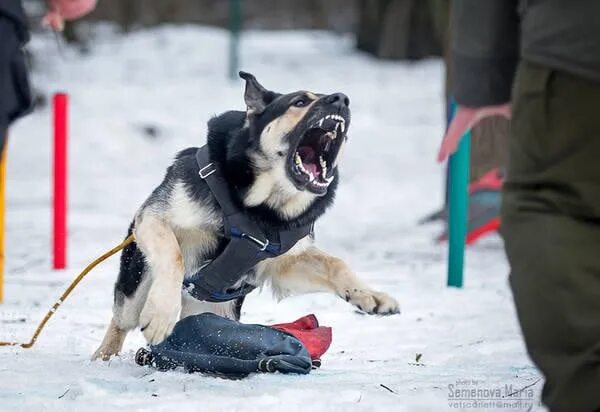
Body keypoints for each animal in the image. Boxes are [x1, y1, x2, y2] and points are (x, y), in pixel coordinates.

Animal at [94, 71, 400, 360]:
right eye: (300, 102)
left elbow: (336, 264)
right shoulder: (154, 219)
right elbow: (174, 256)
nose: (342, 99)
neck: (259, 208)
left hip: (216, 310)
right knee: (121, 321)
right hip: (136, 286)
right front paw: (161, 314)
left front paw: (371, 295)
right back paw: (103, 357)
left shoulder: (282, 264)